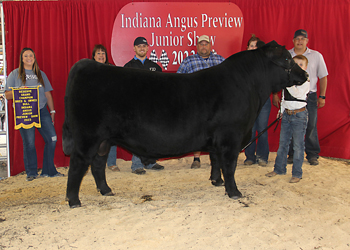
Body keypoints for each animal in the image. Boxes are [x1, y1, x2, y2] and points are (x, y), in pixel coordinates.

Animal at [62, 41, 306, 208]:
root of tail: (86, 65)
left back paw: (106, 191)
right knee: (78, 164)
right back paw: (74, 200)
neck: (248, 85)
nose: (304, 73)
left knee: (97, 164)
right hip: (88, 136)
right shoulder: (230, 137)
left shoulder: (218, 139)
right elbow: (229, 165)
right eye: (287, 59)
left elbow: (215, 162)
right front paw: (234, 192)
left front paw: (216, 182)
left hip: (103, 140)